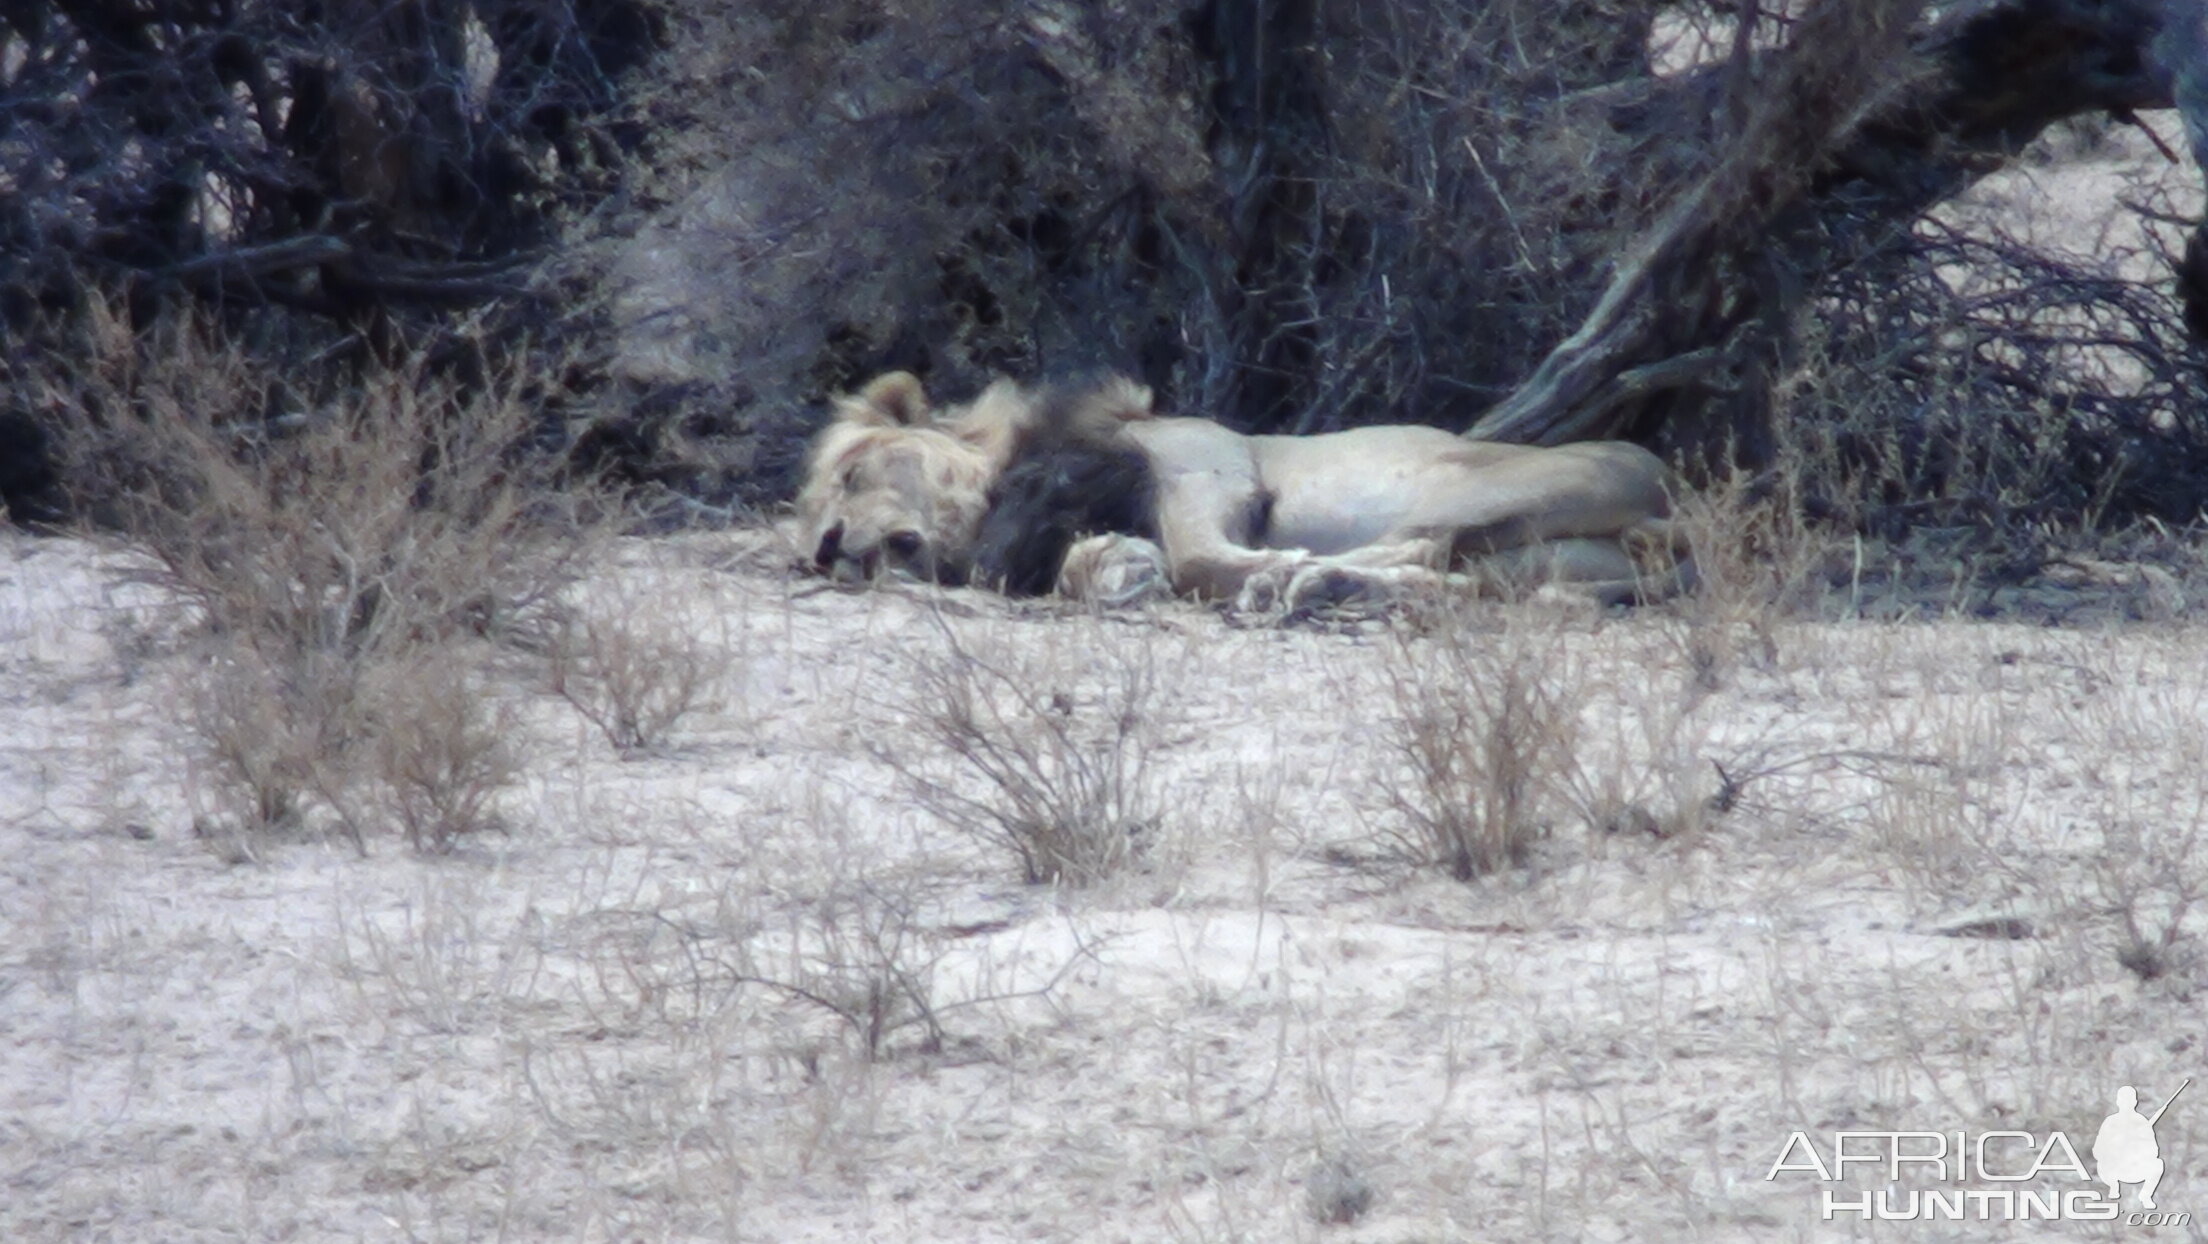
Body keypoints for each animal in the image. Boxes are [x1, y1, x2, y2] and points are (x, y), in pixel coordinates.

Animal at [794, 366, 1686, 609]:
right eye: (815, 541)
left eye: (852, 473)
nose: (836, 552)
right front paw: (1118, 571)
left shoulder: (1206, 460)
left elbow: (1198, 555)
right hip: (1540, 561)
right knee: (1462, 579)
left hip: (1499, 486)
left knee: (1422, 546)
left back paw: (1307, 583)